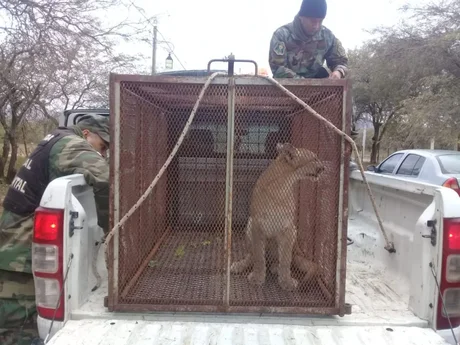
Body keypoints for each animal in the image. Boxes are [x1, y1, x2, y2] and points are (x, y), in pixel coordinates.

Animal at [229, 142, 324, 290]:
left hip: (294, 235)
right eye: (314, 158)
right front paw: (257, 277)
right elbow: (258, 256)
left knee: (285, 259)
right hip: (249, 226)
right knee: (252, 256)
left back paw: (275, 267)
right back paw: (240, 265)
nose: (324, 168)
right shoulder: (257, 224)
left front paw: (286, 281)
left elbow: (285, 259)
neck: (282, 185)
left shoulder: (287, 228)